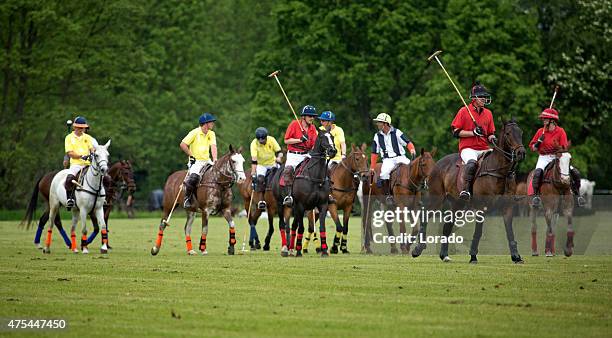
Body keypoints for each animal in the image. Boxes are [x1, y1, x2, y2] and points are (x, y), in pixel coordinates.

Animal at [414, 119, 528, 264]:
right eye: (508, 133)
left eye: (521, 132)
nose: (521, 153)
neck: (499, 172)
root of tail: (437, 163)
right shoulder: (481, 207)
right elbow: (478, 232)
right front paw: (473, 256)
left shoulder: (507, 207)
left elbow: (510, 232)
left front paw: (516, 257)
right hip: (437, 198)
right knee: (425, 216)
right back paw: (418, 249)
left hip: (458, 203)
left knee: (447, 225)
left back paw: (444, 255)